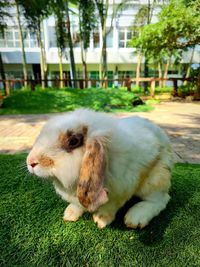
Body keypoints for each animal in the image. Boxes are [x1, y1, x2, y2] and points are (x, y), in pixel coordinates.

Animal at [27, 109, 173, 230]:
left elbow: (109, 207)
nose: (31, 162)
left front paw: (100, 220)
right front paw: (69, 215)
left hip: (155, 179)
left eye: (73, 141)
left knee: (161, 200)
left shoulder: (120, 192)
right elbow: (77, 204)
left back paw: (135, 218)